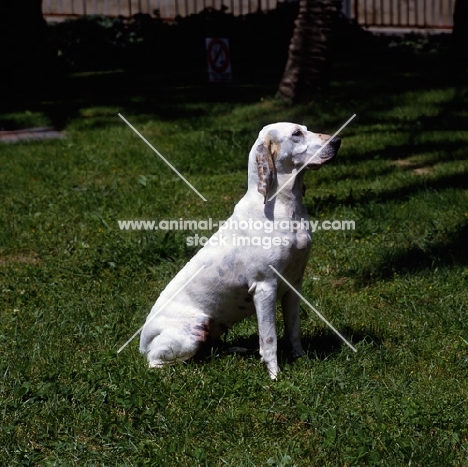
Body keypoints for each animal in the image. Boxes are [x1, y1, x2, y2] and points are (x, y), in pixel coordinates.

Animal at [139, 123, 340, 380]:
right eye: (297, 133)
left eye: (306, 128)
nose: (338, 141)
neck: (285, 207)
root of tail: (142, 342)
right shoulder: (265, 288)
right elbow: (269, 339)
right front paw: (275, 376)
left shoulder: (294, 284)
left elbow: (294, 330)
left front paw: (300, 358)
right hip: (192, 332)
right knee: (157, 363)